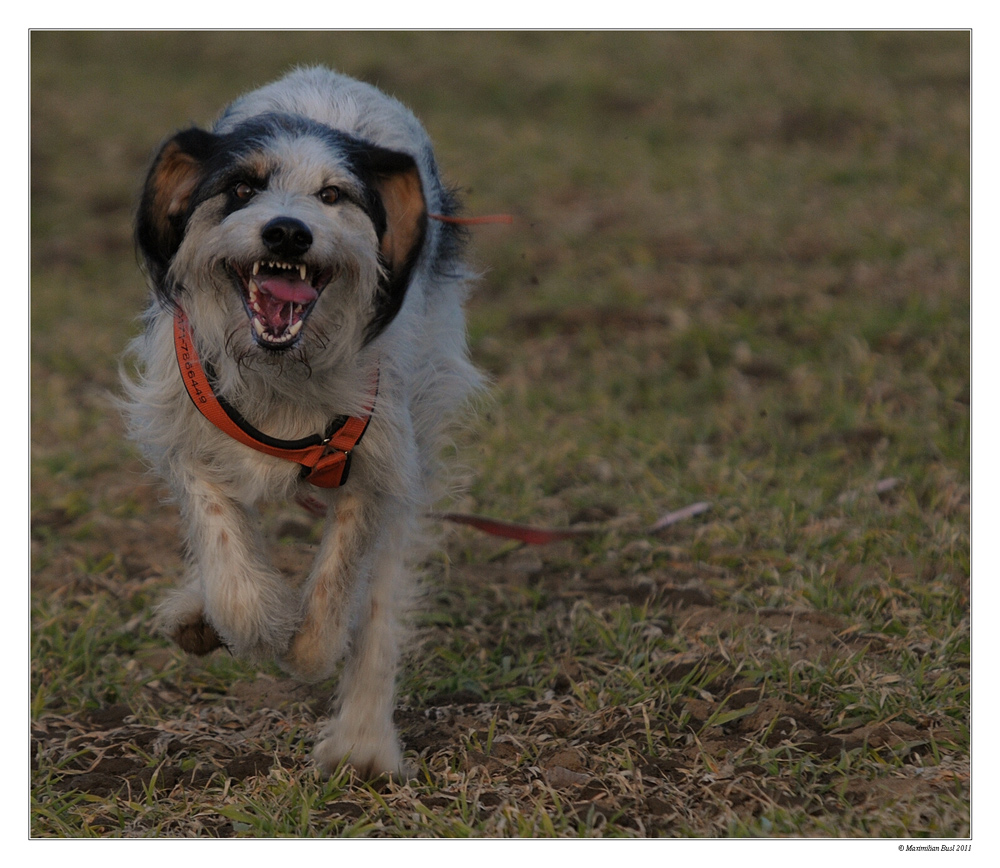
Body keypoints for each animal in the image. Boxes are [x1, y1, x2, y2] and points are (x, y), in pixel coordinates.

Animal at [123, 64, 482, 776]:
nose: (288, 232)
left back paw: (363, 744)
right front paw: (251, 619)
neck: (281, 371)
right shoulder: (180, 419)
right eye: (241, 188)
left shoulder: (377, 459)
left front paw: (311, 645)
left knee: (381, 597)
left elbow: (344, 571)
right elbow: (221, 539)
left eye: (333, 195)